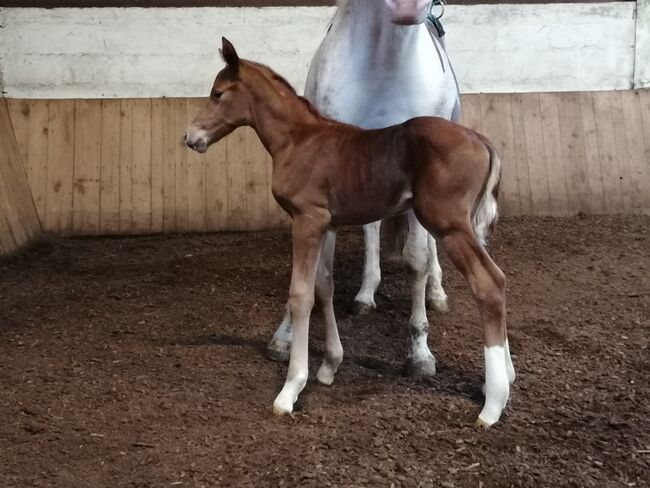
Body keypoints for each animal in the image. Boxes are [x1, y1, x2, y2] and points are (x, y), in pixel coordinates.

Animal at [185, 39, 512, 428]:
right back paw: (505, 377)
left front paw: (291, 389)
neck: (298, 140)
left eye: (217, 94)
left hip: (449, 225)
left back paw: (492, 404)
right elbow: (323, 286)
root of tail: (483, 142)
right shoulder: (327, 223)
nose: (190, 137)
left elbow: (301, 295)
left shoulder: (307, 220)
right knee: (499, 279)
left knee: (488, 284)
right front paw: (330, 365)